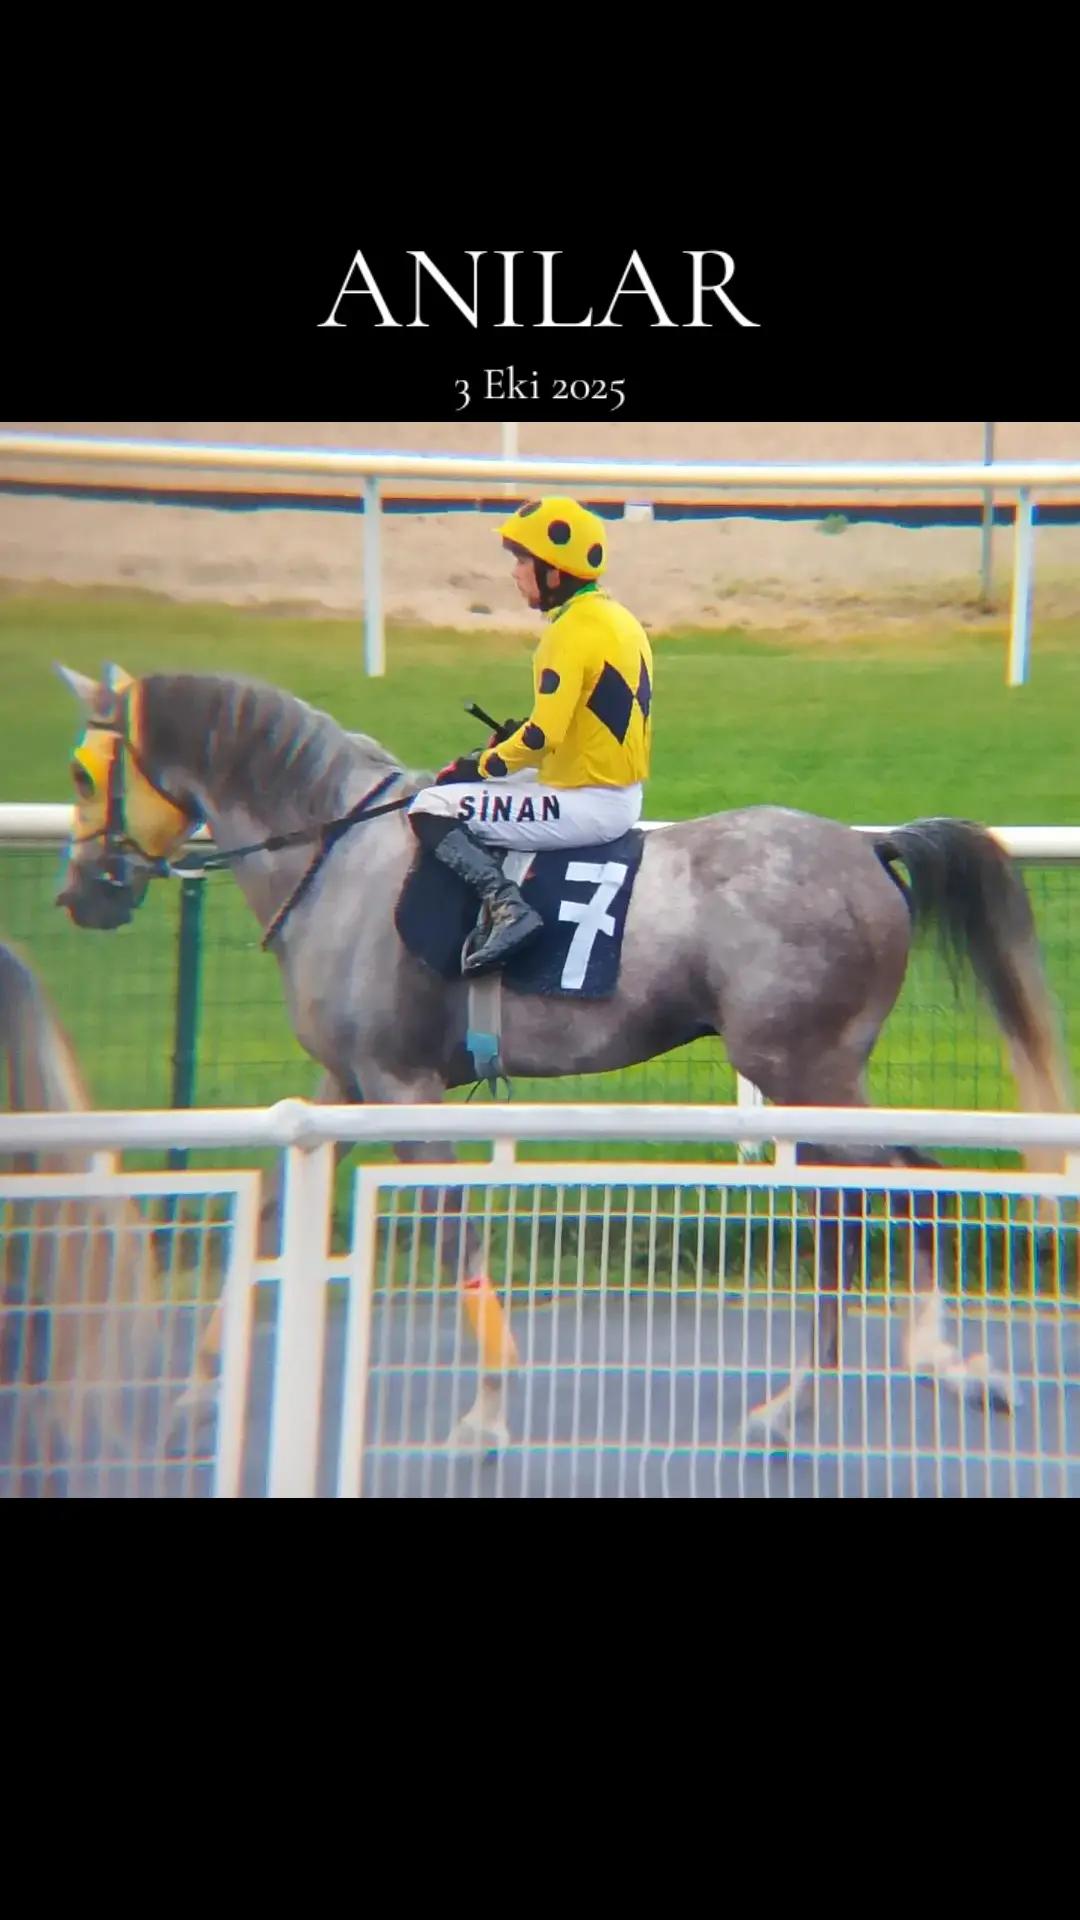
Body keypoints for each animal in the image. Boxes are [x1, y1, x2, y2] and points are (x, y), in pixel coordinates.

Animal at [52, 662, 1074, 1452]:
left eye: (81, 772)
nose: (79, 894)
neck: (338, 856)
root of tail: (872, 850)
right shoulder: (342, 1082)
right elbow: (266, 1206)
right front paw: (195, 1399)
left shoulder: (402, 1086)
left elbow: (456, 1236)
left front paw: (485, 1416)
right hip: (816, 1078)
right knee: (873, 1195)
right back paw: (845, 1390)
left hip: (804, 1071)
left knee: (902, 1184)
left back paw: (894, 1377)